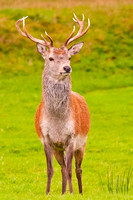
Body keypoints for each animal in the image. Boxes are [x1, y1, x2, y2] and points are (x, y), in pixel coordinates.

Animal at [15, 13, 90, 195]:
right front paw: (48, 193)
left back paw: (79, 192)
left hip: (82, 142)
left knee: (77, 169)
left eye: (69, 57)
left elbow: (70, 170)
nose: (67, 68)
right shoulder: (46, 138)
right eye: (50, 58)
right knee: (62, 168)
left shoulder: (72, 137)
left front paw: (72, 193)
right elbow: (50, 169)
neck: (57, 121)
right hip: (58, 148)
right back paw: (62, 192)